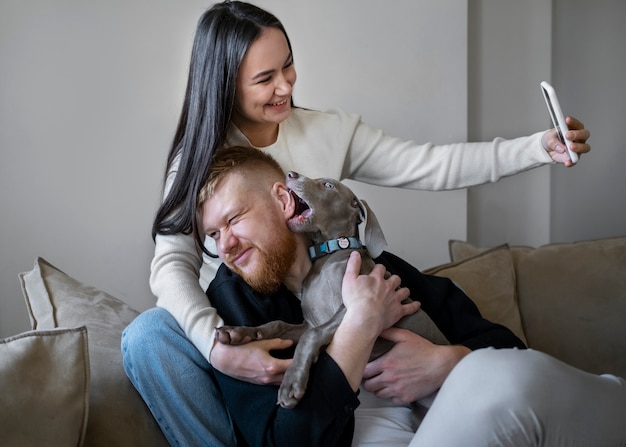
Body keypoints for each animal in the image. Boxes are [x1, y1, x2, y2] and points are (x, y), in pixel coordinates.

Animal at [216, 172, 448, 410]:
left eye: (328, 185)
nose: (290, 174)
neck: (329, 253)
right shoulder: (310, 321)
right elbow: (277, 324)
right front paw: (239, 332)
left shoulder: (355, 307)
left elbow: (311, 336)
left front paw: (292, 382)